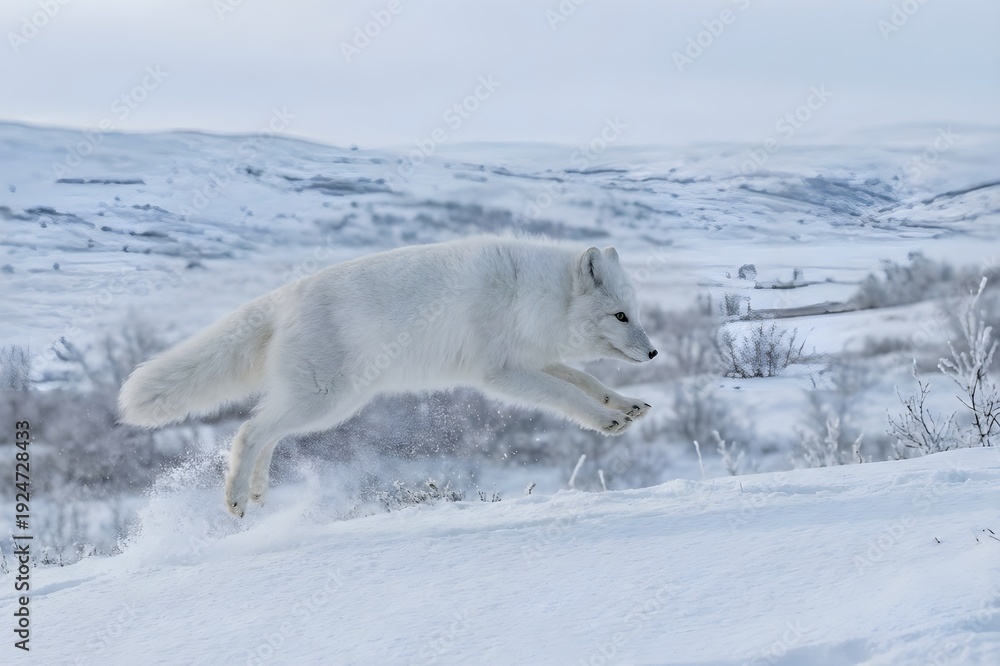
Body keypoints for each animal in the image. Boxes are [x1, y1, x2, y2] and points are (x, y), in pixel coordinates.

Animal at [118, 235, 658, 517]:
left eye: (635, 313)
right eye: (620, 317)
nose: (654, 352)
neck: (532, 294)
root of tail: (286, 296)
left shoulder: (534, 358)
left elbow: (586, 383)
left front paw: (625, 405)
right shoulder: (502, 373)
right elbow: (566, 396)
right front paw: (606, 422)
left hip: (326, 405)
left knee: (262, 430)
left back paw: (256, 491)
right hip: (327, 400)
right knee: (250, 430)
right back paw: (234, 498)